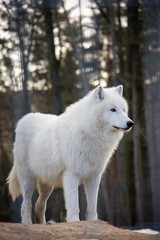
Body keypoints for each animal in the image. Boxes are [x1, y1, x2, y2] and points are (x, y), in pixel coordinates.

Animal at [6, 86, 134, 223]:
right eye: (113, 109)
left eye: (123, 110)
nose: (130, 123)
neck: (90, 133)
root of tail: (24, 119)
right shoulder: (71, 175)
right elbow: (74, 205)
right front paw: (74, 221)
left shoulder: (93, 177)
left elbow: (92, 207)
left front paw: (93, 222)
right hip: (28, 180)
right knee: (25, 205)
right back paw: (27, 224)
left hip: (47, 185)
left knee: (39, 205)